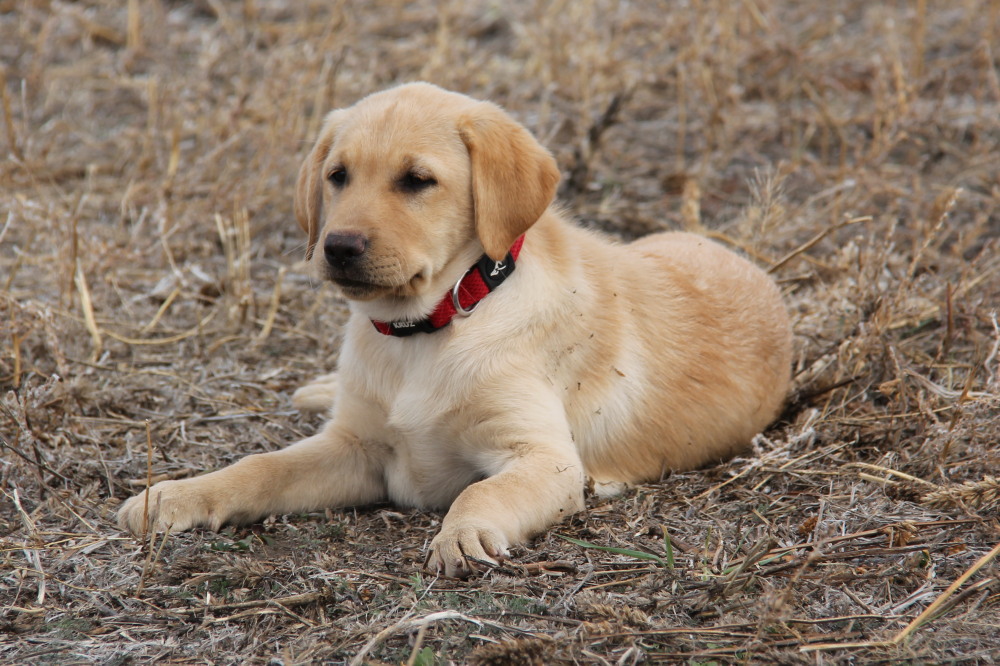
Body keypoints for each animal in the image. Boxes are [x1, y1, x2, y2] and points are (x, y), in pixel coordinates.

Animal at [119, 81, 788, 576]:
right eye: (337, 175)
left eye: (417, 180)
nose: (337, 247)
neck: (429, 327)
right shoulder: (356, 447)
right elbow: (259, 467)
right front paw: (175, 495)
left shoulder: (545, 459)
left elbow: (481, 492)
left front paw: (462, 534)